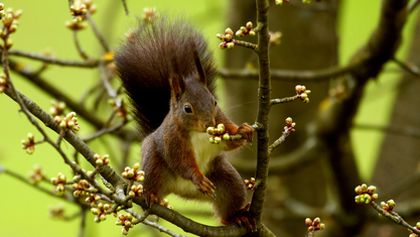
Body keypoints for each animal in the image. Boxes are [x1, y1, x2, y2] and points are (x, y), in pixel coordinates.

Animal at [114, 18, 253, 226]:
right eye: (187, 108)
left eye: (214, 102)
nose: (209, 124)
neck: (199, 133)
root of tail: (180, 190)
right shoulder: (172, 140)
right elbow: (181, 162)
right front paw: (197, 177)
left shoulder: (220, 120)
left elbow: (230, 140)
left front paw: (244, 130)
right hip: (153, 165)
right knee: (152, 182)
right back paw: (152, 196)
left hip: (228, 181)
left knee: (228, 206)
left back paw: (237, 216)